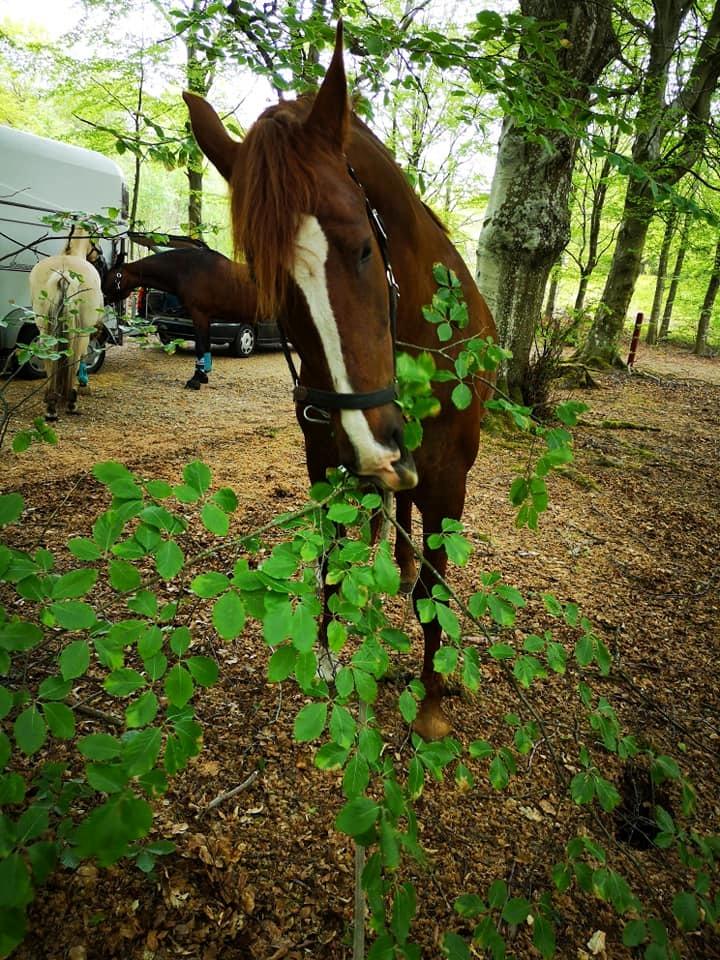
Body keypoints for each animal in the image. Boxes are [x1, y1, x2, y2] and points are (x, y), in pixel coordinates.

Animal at [101, 248, 258, 390]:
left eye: (110, 277)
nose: (102, 299)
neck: (190, 270)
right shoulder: (206, 318)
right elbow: (206, 346)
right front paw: (203, 376)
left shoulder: (199, 315)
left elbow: (200, 347)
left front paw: (195, 380)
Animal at [184, 24, 496, 744]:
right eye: (268, 281)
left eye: (361, 248)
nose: (371, 445)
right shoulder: (325, 459)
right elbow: (328, 561)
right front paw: (326, 660)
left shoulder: (447, 475)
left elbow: (435, 591)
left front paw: (431, 703)